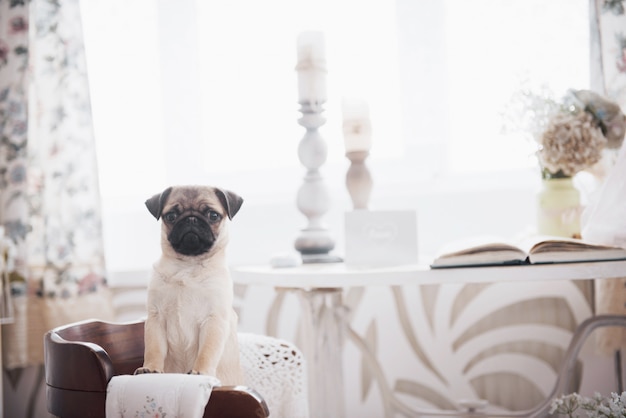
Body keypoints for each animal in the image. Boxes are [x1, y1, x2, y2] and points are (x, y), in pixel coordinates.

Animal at [134, 186, 244, 386]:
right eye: (171, 216)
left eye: (213, 215)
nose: (191, 219)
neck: (187, 266)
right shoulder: (156, 319)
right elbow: (154, 349)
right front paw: (151, 369)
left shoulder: (213, 320)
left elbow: (206, 352)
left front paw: (200, 372)